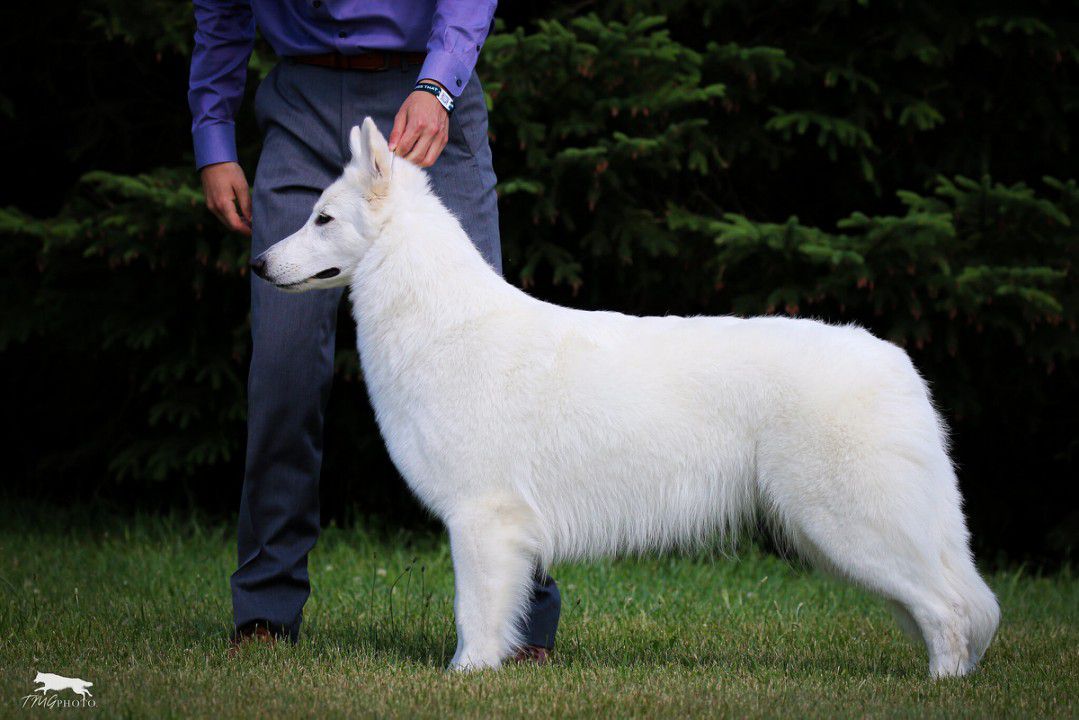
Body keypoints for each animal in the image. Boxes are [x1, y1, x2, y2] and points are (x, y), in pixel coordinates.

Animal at [256, 117, 996, 677]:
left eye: (322, 219)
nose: (258, 264)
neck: (437, 317)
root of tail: (897, 362)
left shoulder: (481, 519)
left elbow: (475, 613)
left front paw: (464, 677)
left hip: (848, 525)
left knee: (950, 611)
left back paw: (940, 687)